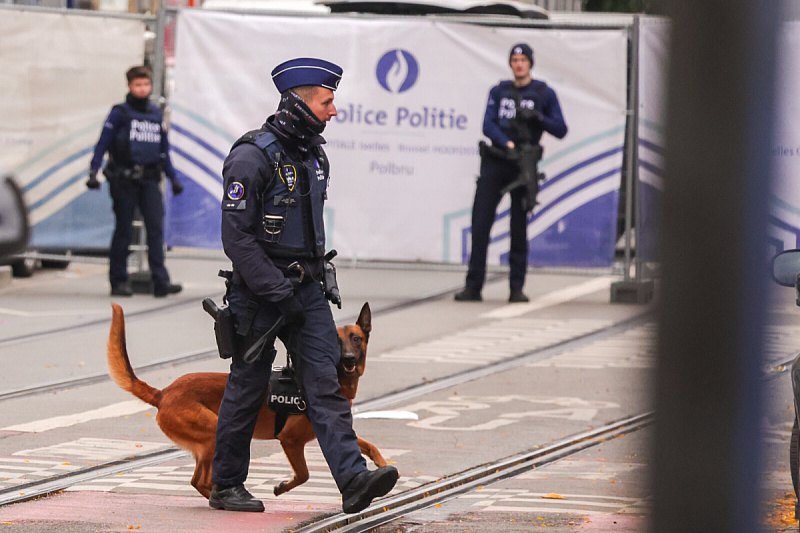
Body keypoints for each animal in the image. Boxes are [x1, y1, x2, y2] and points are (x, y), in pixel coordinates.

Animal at [88, 65, 184, 298]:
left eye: (144, 83)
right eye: (138, 83)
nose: (143, 88)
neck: (140, 105)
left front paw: (163, 283)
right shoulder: (114, 117)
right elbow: (102, 143)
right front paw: (92, 175)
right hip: (124, 198)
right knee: (122, 233)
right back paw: (119, 285)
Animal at [105, 304, 388, 498]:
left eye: (356, 339)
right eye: (337, 341)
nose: (349, 359)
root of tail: (164, 393)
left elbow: (368, 445)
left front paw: (383, 466)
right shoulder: (290, 440)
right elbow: (304, 474)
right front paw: (282, 487)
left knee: (198, 481)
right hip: (213, 433)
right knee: (201, 481)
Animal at [211, 60, 398, 512]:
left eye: (357, 338)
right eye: (327, 99)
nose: (345, 358)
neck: (288, 142)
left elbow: (342, 423)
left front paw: (363, 481)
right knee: (241, 392)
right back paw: (228, 490)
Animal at [456, 44, 568, 304]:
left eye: (522, 59)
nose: (518, 63)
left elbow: (560, 125)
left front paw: (533, 115)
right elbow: (489, 121)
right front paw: (470, 288)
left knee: (518, 235)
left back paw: (517, 291)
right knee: (482, 225)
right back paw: (471, 290)